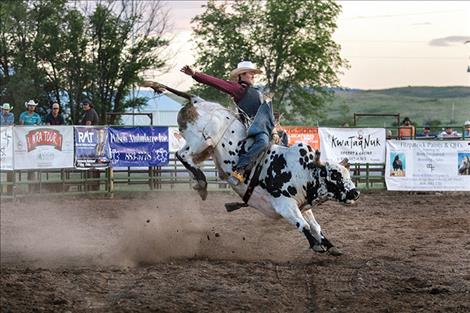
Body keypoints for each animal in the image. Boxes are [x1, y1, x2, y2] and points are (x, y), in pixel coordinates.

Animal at [140, 81, 360, 255]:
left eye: (347, 174)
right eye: (334, 175)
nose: (355, 193)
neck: (300, 170)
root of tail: (197, 100)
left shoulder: (302, 204)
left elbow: (315, 224)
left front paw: (330, 244)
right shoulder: (284, 204)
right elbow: (303, 224)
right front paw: (317, 245)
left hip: (203, 146)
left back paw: (200, 183)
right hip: (201, 140)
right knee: (182, 155)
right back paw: (202, 182)